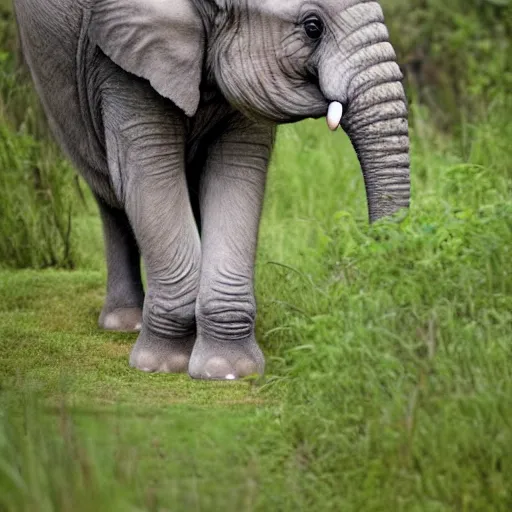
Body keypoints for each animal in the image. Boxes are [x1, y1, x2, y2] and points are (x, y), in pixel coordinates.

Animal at [13, 0, 412, 378]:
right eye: (313, 27)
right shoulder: (120, 64)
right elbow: (151, 171)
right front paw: (162, 366)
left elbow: (237, 173)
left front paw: (228, 370)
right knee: (110, 196)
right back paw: (124, 324)